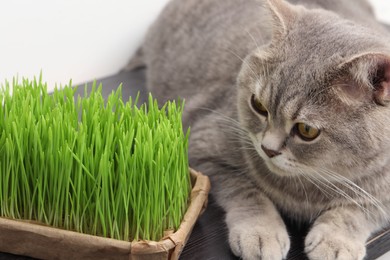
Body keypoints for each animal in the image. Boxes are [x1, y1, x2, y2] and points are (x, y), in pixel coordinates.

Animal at [129, 1, 390, 258]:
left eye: (306, 130)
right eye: (259, 105)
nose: (268, 149)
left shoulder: (382, 193)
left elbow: (358, 210)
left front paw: (336, 241)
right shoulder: (202, 145)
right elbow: (246, 191)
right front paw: (260, 232)